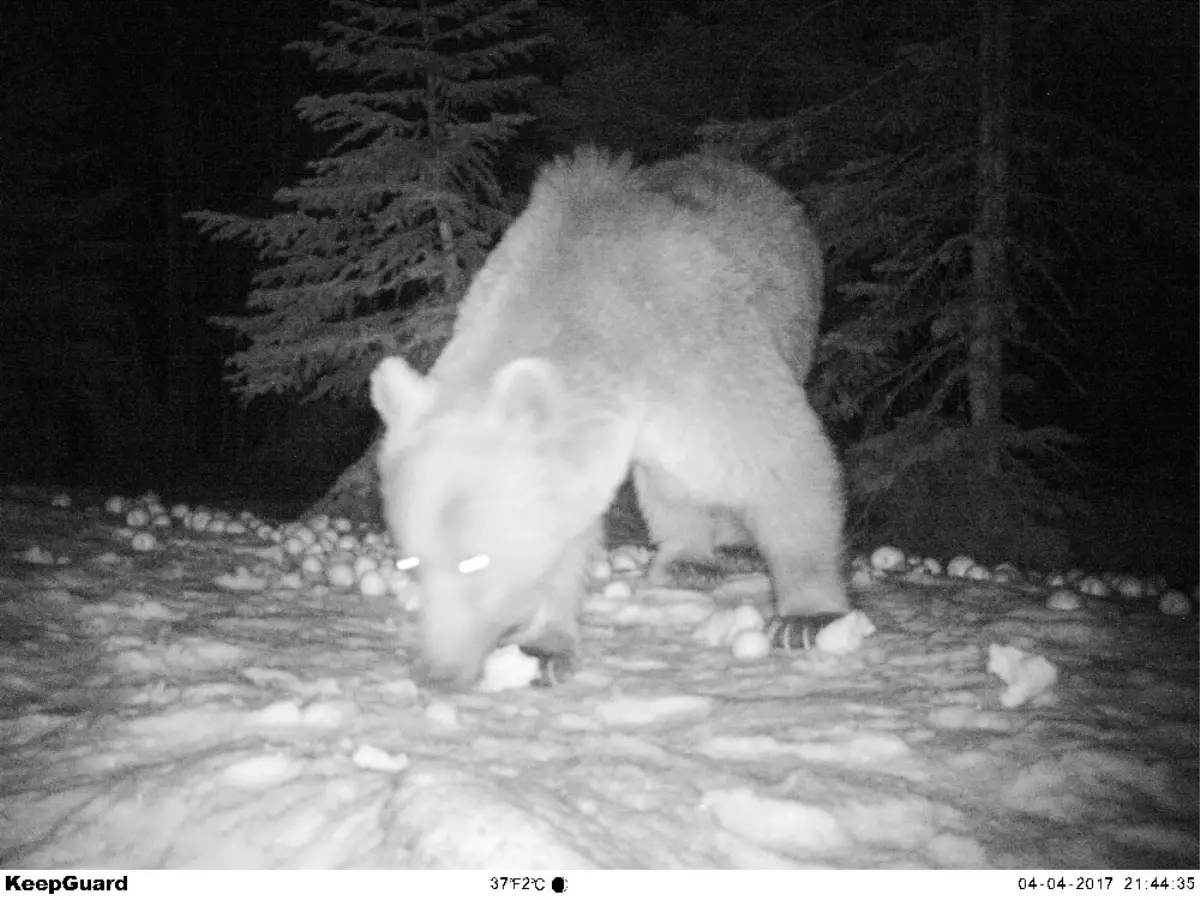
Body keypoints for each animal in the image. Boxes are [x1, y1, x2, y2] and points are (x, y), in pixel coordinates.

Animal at [369, 144, 849, 686]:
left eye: (474, 562)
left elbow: (778, 454)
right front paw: (543, 645)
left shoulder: (698, 351)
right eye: (411, 562)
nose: (437, 671)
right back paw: (687, 557)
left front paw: (807, 617)